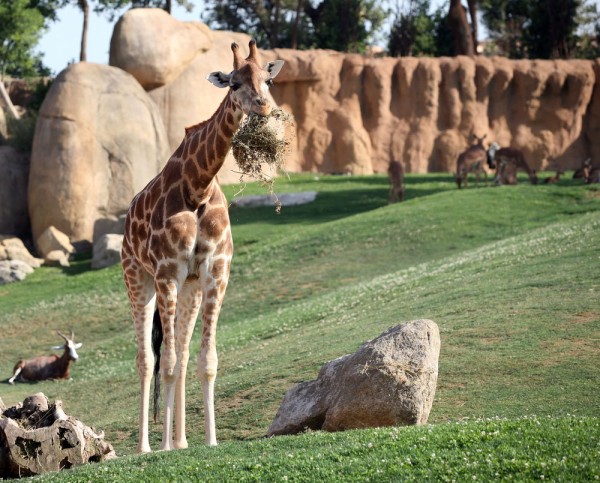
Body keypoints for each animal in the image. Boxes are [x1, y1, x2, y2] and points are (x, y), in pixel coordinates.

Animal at [120, 41, 284, 454]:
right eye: (234, 82)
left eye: (269, 79)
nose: (264, 108)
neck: (198, 186)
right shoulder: (166, 272)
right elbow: (166, 362)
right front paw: (162, 446)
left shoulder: (214, 271)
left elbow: (205, 359)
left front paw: (209, 441)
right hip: (137, 277)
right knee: (147, 359)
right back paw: (149, 446)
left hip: (189, 287)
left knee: (180, 350)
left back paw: (181, 442)